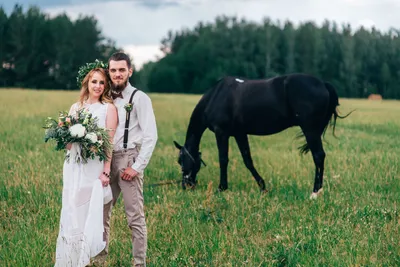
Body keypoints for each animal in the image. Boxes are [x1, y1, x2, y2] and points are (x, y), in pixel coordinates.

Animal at [173, 73, 348, 199]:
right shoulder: (239, 133)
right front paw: (263, 187)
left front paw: (221, 188)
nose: (186, 185)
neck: (216, 95)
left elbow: (223, 160)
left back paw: (315, 192)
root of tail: (323, 83)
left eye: (180, 160)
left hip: (310, 130)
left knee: (318, 156)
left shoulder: (221, 132)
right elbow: (248, 160)